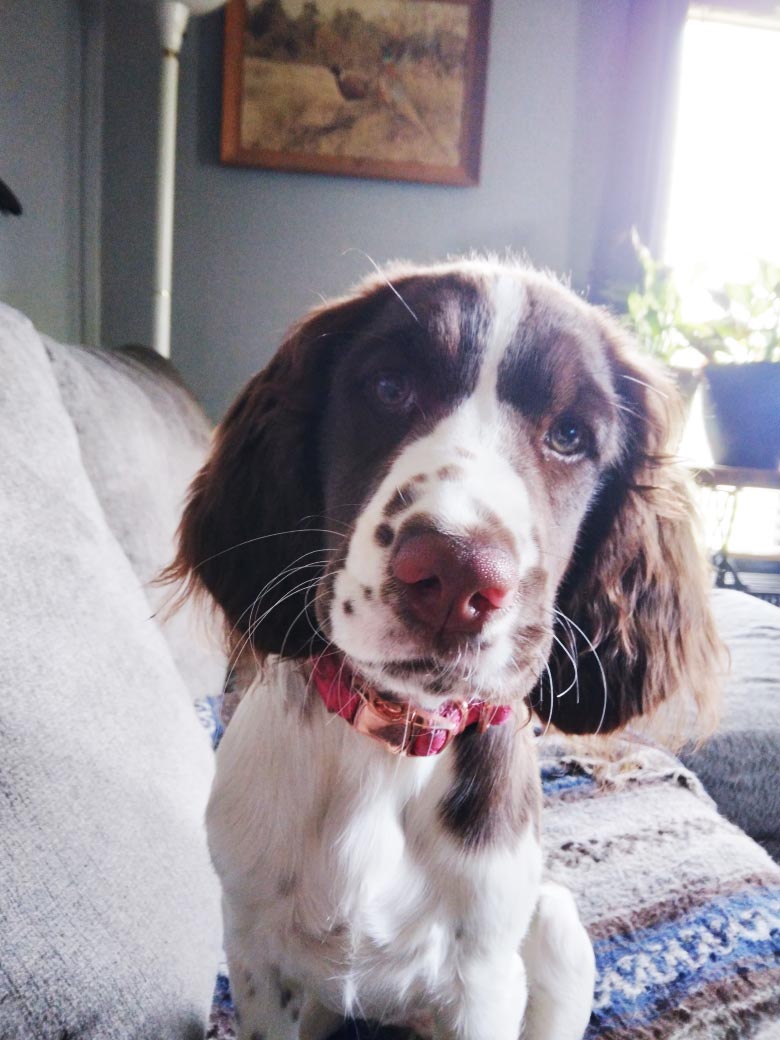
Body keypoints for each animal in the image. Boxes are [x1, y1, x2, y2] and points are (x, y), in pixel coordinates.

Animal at [168, 257, 723, 1040]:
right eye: (388, 386)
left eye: (571, 434)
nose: (456, 575)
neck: (392, 744)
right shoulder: (255, 952)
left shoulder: (482, 982)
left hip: (555, 927)